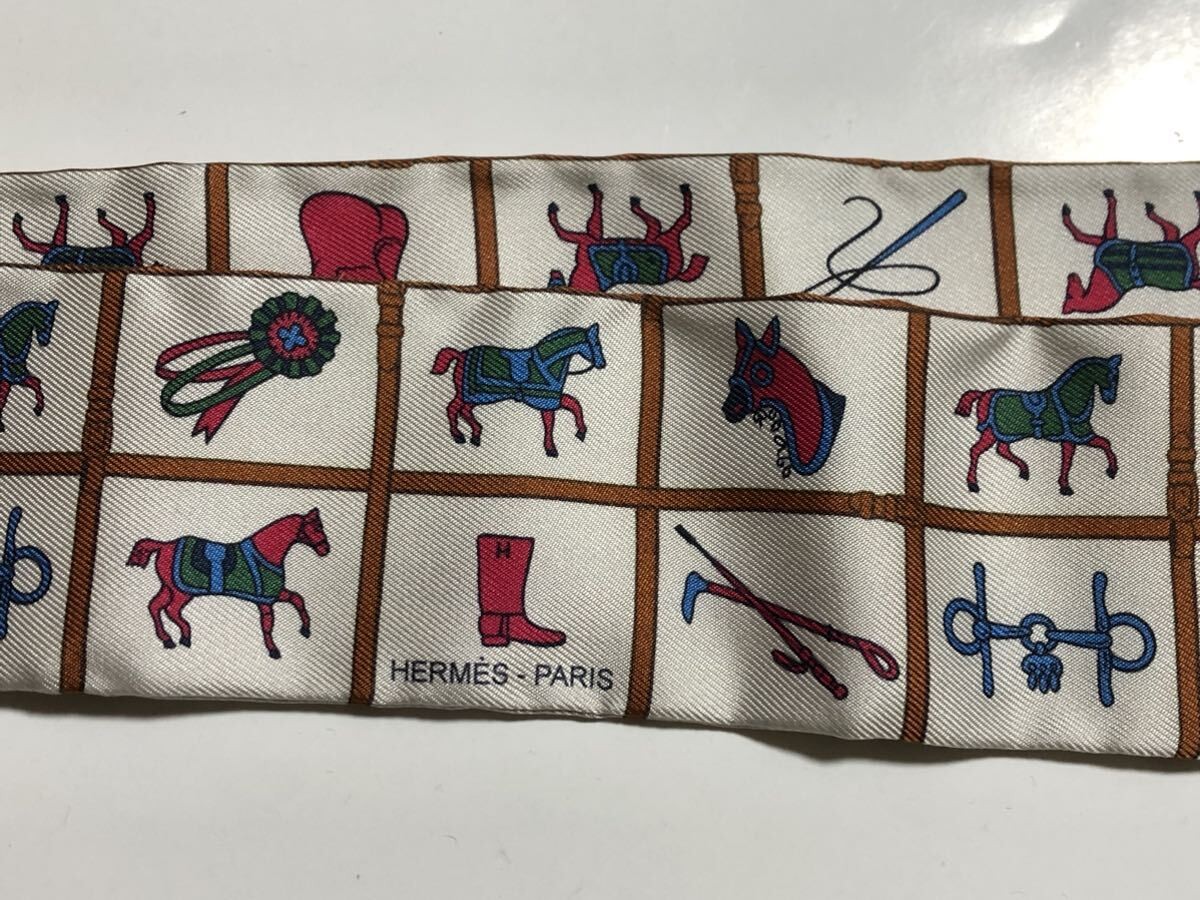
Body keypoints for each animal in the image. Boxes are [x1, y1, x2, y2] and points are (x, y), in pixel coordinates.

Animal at [0, 300, 58, 433]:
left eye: (53, 321)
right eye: (47, 322)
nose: (44, 341)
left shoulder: (10, 379)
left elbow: (36, 382)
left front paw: (38, 408)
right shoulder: (14, 376)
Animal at [126, 509, 329, 659]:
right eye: (317, 528)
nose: (325, 550)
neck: (266, 552)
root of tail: (164, 545)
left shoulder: (274, 593)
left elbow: (298, 599)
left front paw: (305, 629)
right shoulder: (264, 600)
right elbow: (267, 624)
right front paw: (273, 650)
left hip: (169, 587)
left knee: (155, 606)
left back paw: (167, 639)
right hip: (181, 591)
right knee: (171, 610)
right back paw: (184, 635)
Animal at [431, 324, 606, 457]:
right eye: (597, 344)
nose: (602, 364)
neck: (547, 363)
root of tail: (460, 355)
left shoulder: (552, 398)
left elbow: (574, 404)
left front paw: (581, 432)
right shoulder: (545, 400)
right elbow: (551, 422)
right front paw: (551, 448)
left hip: (478, 395)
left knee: (465, 410)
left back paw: (476, 435)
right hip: (466, 394)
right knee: (452, 408)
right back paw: (458, 435)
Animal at [547, 183, 709, 292]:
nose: (554, 273)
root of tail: (678, 273)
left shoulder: (586, 241)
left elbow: (569, 232)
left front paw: (554, 218)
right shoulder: (587, 243)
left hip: (664, 240)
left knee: (673, 221)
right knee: (667, 223)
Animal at [955, 356, 1122, 495]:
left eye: (1118, 377)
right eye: (1113, 376)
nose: (1110, 399)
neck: (1067, 401)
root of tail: (983, 394)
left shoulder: (1075, 437)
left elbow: (1096, 447)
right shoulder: (1076, 435)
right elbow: (1092, 449)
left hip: (1007, 433)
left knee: (1002, 450)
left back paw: (1024, 470)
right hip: (990, 432)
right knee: (976, 450)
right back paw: (973, 484)